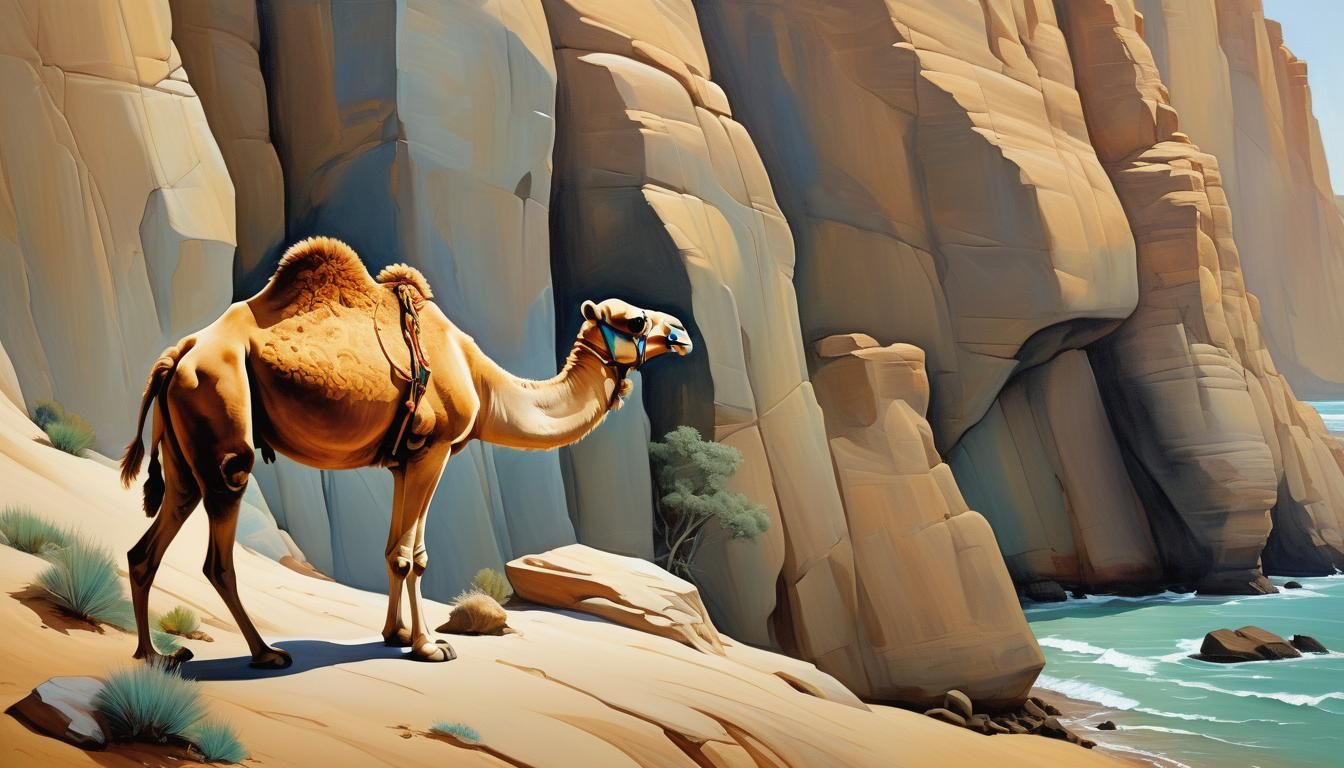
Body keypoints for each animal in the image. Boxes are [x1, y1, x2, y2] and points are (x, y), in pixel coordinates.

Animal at [118, 237, 692, 667]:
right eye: (633, 320)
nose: (682, 332)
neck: (483, 384)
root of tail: (176, 356)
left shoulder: (401, 461)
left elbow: (395, 549)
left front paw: (394, 635)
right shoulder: (432, 452)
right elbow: (412, 557)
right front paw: (429, 646)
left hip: (184, 449)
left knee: (147, 545)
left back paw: (152, 654)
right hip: (223, 422)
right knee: (219, 553)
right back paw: (265, 654)